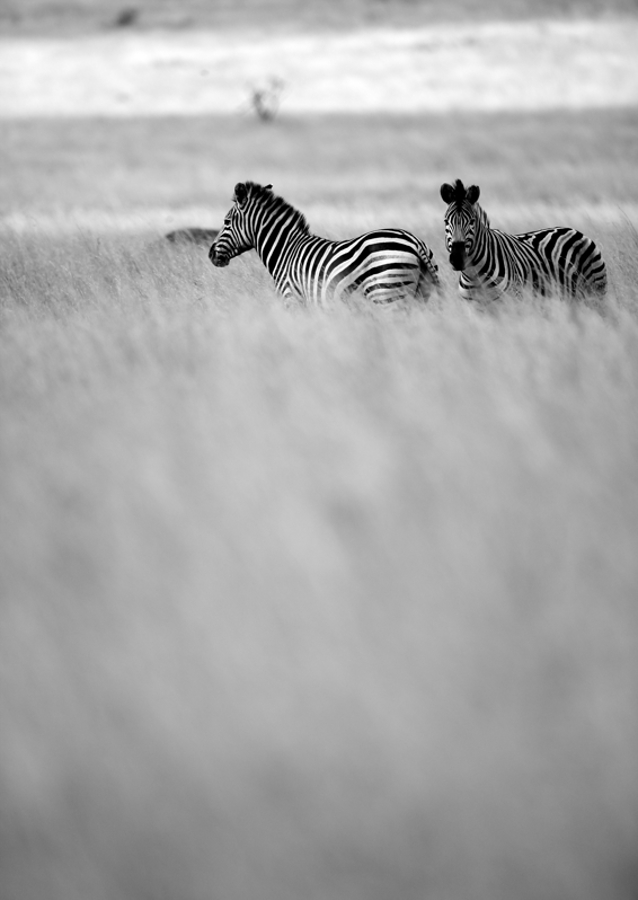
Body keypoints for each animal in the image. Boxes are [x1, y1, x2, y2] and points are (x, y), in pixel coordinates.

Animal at [209, 182, 439, 305]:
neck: (285, 251)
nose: (210, 255)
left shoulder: (292, 299)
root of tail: (414, 241)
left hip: (387, 294)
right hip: (419, 296)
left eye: (226, 222)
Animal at [440, 179, 607, 302]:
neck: (473, 274)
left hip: (595, 291)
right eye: (446, 221)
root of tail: (574, 230)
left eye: (472, 222)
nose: (457, 258)